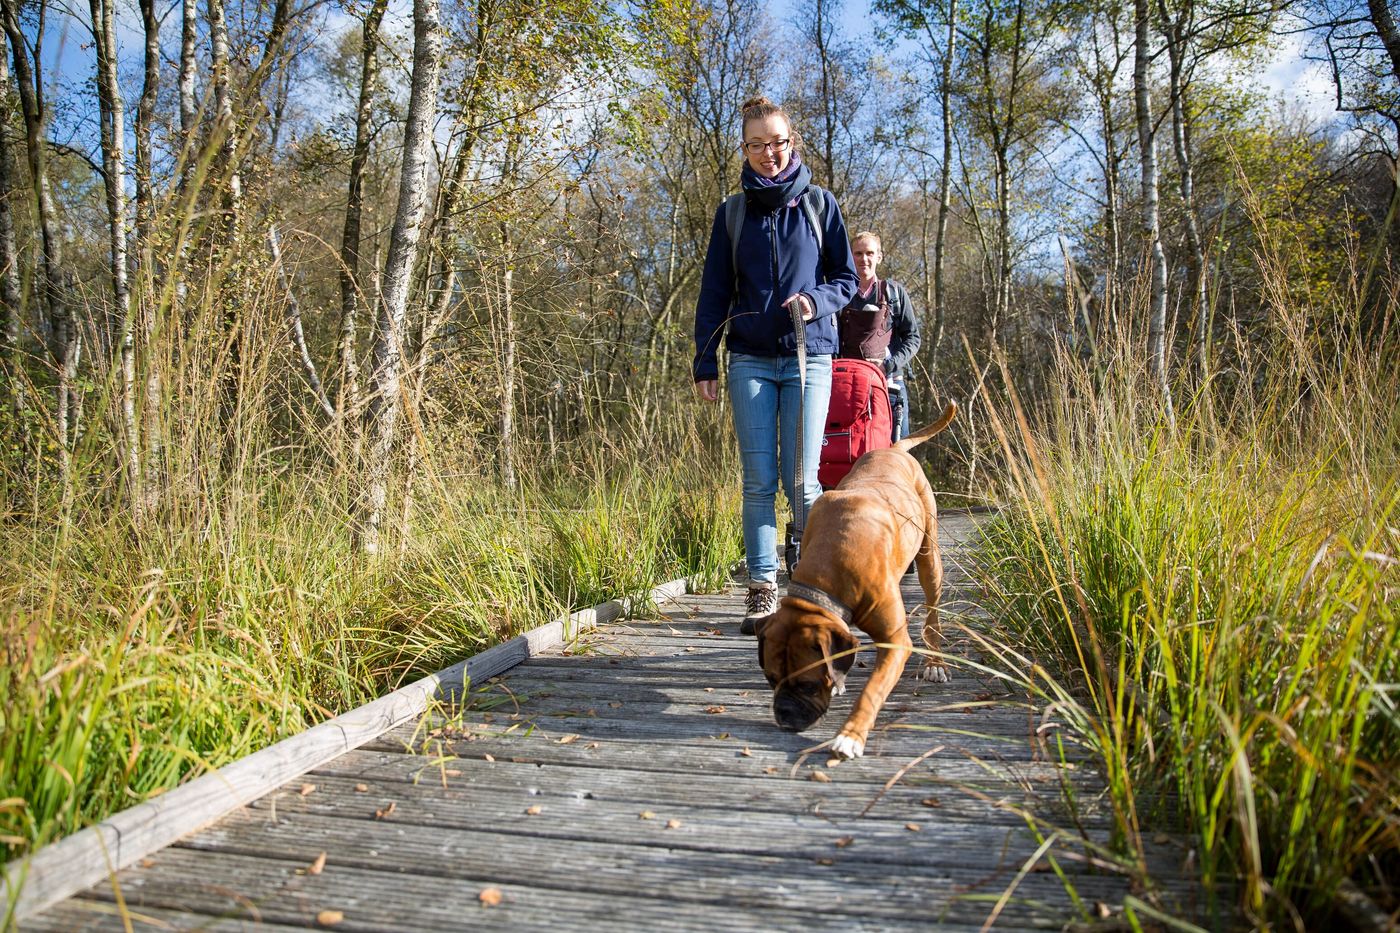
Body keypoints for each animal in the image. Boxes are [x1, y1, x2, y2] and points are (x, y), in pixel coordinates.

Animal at [756, 400, 963, 756]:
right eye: (770, 678)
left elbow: (873, 690)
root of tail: (894, 449)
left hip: (929, 560)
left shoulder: (895, 641)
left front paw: (850, 736)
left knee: (932, 613)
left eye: (808, 685)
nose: (783, 716)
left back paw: (935, 663)